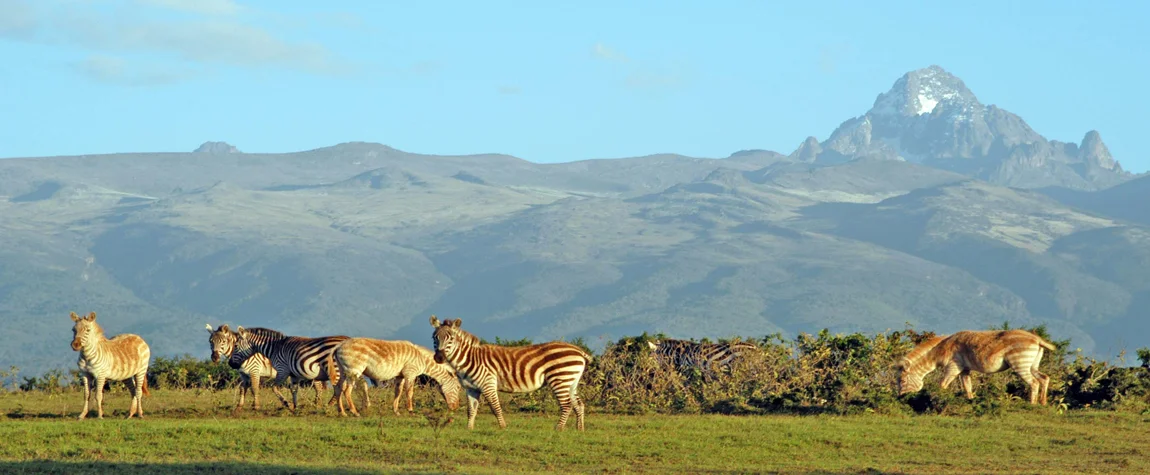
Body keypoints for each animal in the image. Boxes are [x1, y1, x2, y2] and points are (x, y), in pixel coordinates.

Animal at [324, 335, 462, 414]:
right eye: (458, 387)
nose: (455, 407)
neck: (421, 359)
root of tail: (339, 345)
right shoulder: (410, 373)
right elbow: (409, 392)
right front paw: (410, 410)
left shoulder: (400, 375)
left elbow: (398, 392)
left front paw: (396, 411)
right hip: (354, 370)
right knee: (347, 390)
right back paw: (354, 412)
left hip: (343, 370)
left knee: (338, 388)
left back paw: (342, 412)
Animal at [432, 315, 593, 430]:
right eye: (435, 337)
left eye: (451, 338)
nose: (439, 358)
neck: (469, 358)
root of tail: (579, 351)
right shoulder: (471, 388)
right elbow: (471, 409)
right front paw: (469, 429)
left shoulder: (488, 384)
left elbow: (495, 407)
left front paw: (503, 427)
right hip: (571, 382)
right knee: (579, 404)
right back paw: (580, 429)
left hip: (560, 378)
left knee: (567, 405)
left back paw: (558, 429)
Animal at [892, 328, 1053, 402]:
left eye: (902, 380)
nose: (900, 398)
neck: (942, 348)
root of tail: (1037, 339)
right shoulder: (965, 369)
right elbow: (968, 387)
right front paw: (970, 402)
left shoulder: (953, 366)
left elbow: (942, 385)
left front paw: (936, 399)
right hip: (1032, 365)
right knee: (1044, 378)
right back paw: (1043, 403)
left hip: (1020, 364)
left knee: (1034, 382)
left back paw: (1031, 404)